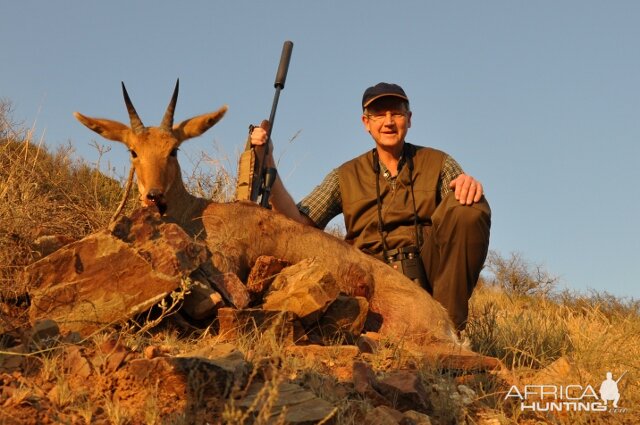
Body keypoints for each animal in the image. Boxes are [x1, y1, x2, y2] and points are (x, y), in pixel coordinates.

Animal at [75, 82, 462, 348]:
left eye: (174, 149)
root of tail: (447, 322)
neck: (198, 211)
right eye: (133, 151)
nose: (154, 197)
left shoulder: (227, 264)